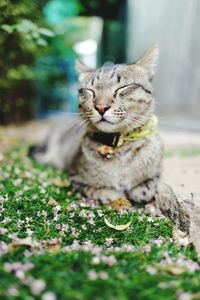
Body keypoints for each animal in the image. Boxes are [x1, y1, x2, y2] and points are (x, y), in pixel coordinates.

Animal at [30, 44, 164, 204]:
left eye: (122, 88)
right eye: (90, 91)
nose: (101, 107)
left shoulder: (157, 171)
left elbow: (147, 187)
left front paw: (138, 190)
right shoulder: (75, 177)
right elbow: (99, 191)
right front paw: (113, 193)